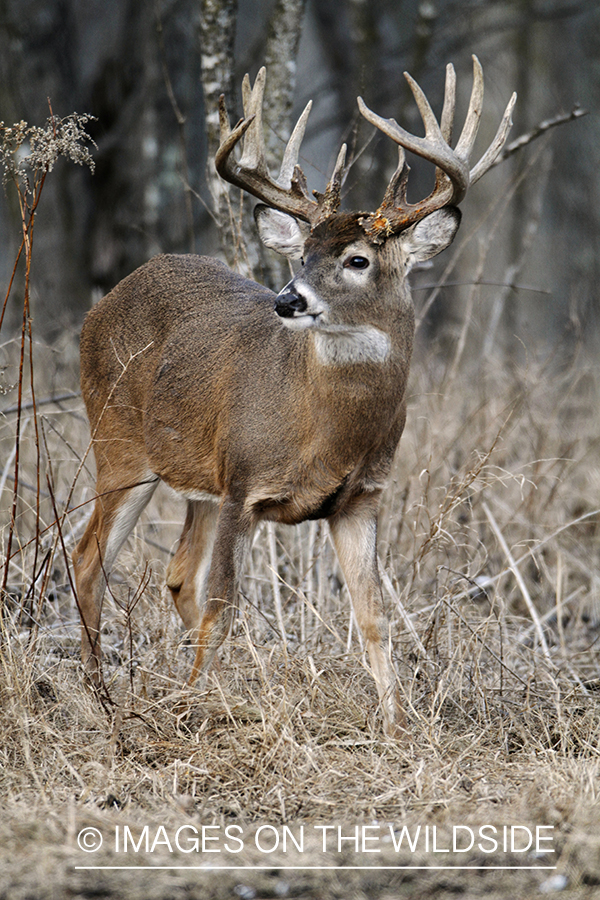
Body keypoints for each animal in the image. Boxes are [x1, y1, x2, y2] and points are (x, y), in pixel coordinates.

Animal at [72, 59, 512, 740]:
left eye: (357, 259)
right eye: (301, 255)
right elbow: (223, 606)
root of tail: (104, 302)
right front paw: (193, 710)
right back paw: (105, 699)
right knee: (90, 560)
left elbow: (374, 615)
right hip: (117, 442)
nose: (287, 299)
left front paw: (398, 728)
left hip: (196, 475)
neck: (326, 433)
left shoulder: (360, 499)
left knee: (176, 576)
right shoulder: (245, 483)